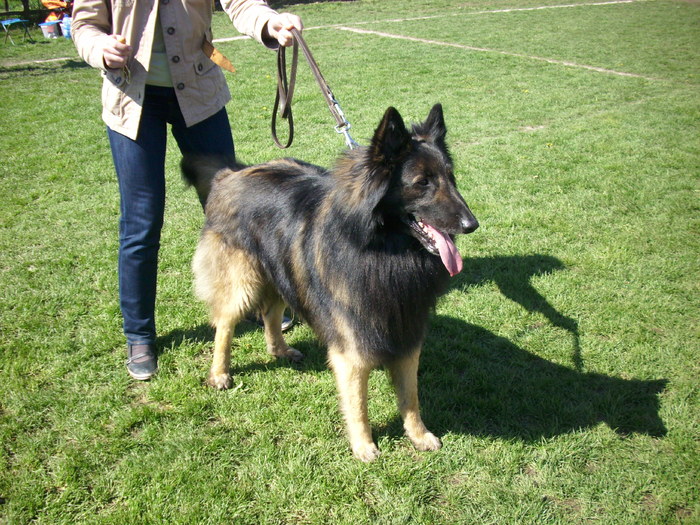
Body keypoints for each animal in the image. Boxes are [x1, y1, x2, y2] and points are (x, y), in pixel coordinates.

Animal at [180, 103, 478, 458]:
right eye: (423, 183)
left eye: (451, 177)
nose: (472, 224)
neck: (382, 251)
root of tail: (230, 174)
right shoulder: (352, 348)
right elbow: (359, 404)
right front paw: (364, 446)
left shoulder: (406, 331)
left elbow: (411, 396)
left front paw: (419, 435)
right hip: (243, 284)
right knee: (224, 325)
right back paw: (220, 373)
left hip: (283, 270)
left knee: (271, 313)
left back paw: (280, 350)